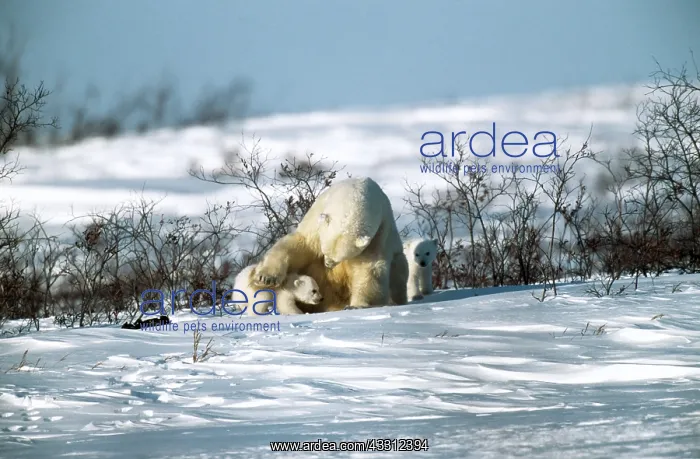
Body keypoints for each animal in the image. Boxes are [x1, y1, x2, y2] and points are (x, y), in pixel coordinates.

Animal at [252, 176, 408, 313]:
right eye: (324, 250)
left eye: (339, 258)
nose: (327, 264)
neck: (356, 192)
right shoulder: (317, 220)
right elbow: (300, 245)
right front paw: (266, 278)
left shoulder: (380, 230)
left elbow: (369, 266)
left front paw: (357, 305)